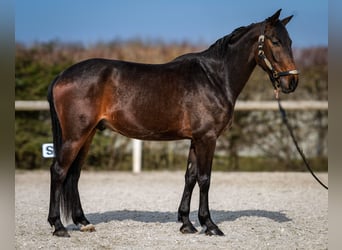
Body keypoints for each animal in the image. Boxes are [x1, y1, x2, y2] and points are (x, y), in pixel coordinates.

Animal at [46, 9, 298, 236]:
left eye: (290, 42)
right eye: (275, 41)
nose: (292, 82)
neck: (214, 77)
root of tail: (61, 75)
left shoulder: (196, 139)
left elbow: (190, 177)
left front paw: (186, 223)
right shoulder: (207, 138)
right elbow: (205, 179)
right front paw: (210, 225)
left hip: (87, 135)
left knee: (74, 174)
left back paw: (83, 222)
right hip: (76, 135)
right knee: (59, 170)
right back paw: (58, 226)